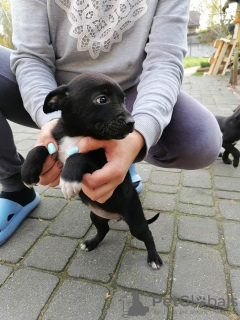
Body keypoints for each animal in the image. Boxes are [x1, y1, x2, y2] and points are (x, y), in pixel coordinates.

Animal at [21, 73, 162, 270]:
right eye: (102, 99)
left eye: (123, 100)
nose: (132, 123)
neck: (76, 135)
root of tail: (117, 217)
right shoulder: (56, 146)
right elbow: (39, 148)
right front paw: (27, 172)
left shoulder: (99, 161)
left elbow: (79, 155)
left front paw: (69, 180)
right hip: (95, 215)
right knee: (104, 229)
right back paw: (91, 243)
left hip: (135, 221)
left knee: (147, 234)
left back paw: (154, 257)